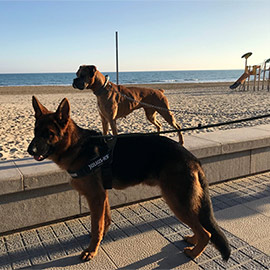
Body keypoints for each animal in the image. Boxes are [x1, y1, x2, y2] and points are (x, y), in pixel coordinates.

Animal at [27, 96, 230, 262]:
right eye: (35, 132)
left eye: (49, 134)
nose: (30, 151)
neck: (77, 145)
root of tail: (193, 159)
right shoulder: (102, 196)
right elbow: (104, 220)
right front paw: (101, 238)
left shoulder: (95, 197)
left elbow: (96, 225)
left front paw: (91, 251)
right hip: (182, 202)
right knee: (200, 227)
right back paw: (193, 240)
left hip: (176, 202)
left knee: (206, 233)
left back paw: (194, 252)